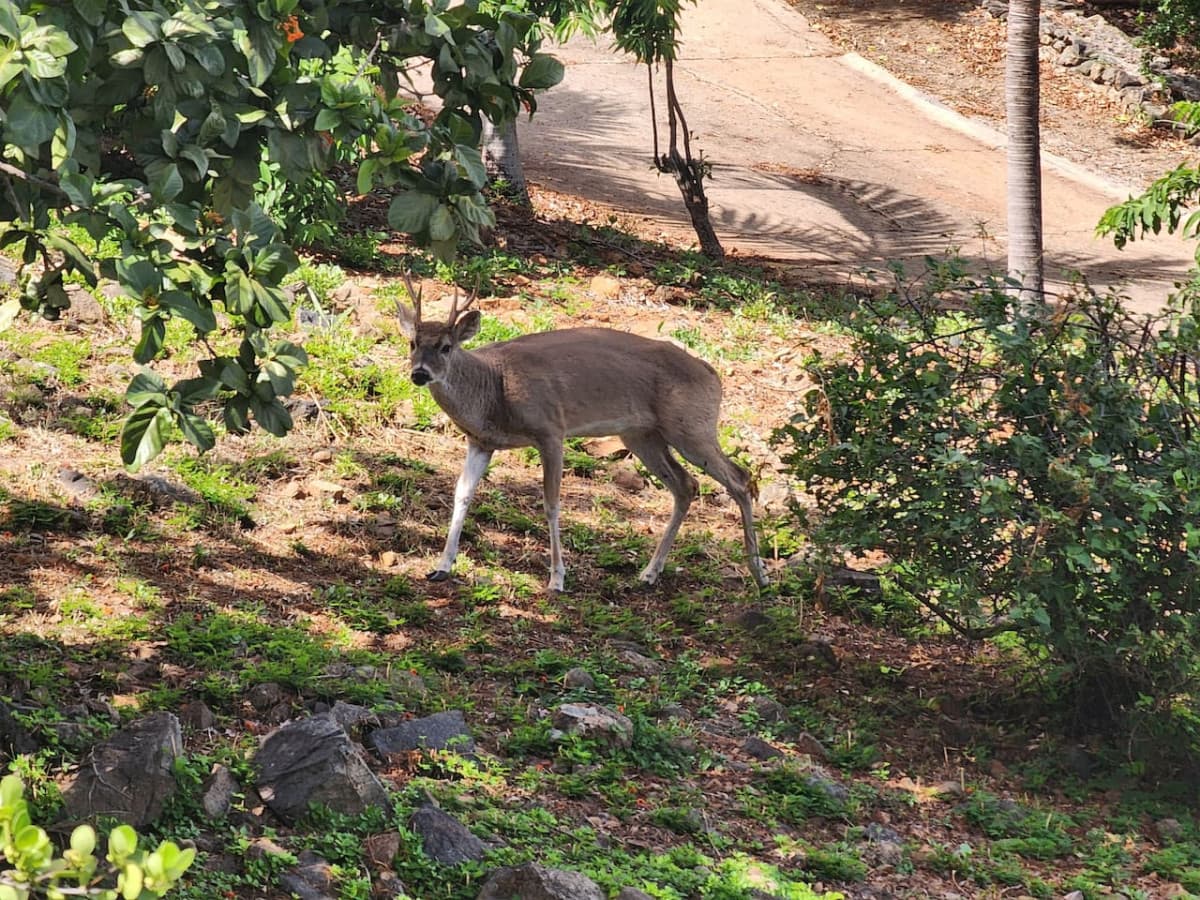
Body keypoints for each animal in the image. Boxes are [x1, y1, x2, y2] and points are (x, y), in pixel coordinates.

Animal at [395, 283, 768, 594]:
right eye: (413, 343)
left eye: (446, 347)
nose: (419, 374)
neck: (493, 387)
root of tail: (712, 374)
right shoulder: (481, 441)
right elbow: (462, 495)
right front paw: (441, 567)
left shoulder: (551, 429)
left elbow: (551, 504)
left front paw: (557, 578)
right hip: (642, 435)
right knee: (686, 485)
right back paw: (650, 572)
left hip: (691, 426)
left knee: (740, 478)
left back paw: (760, 575)